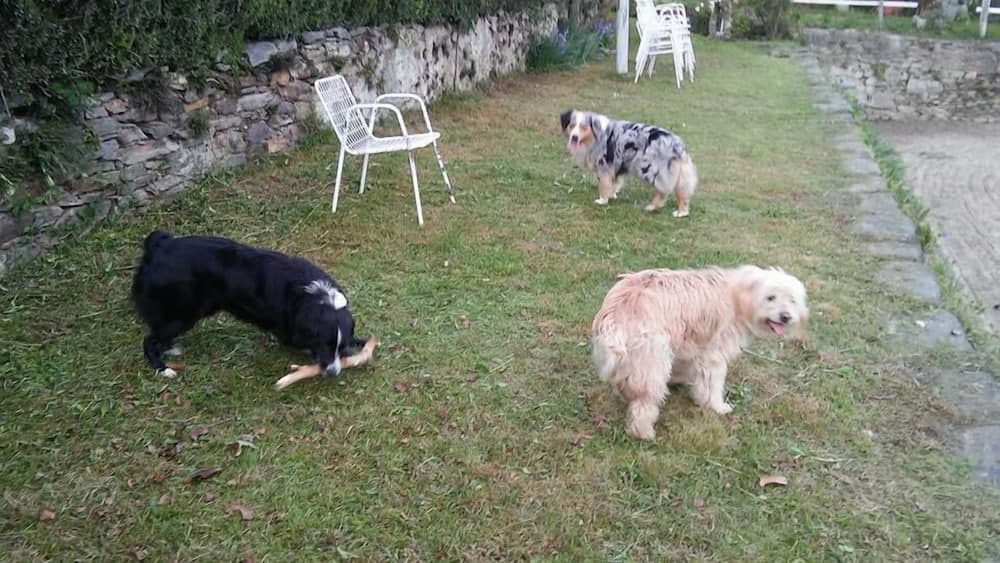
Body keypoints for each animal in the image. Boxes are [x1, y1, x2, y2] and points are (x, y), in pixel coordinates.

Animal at [131, 231, 369, 380]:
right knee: (149, 340)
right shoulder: (289, 329)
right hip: (184, 313)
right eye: (323, 345)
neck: (315, 296)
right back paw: (162, 368)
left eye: (340, 347)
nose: (332, 373)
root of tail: (160, 245)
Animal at [559, 109, 698, 216]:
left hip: (650, 169)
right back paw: (682, 212)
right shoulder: (617, 165)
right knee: (682, 194)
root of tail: (677, 145)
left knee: (663, 191)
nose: (574, 137)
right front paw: (612, 196)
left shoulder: (604, 165)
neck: (596, 136)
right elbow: (614, 184)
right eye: (572, 126)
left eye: (583, 127)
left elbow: (604, 185)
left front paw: (602, 200)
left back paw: (653, 207)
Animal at [591, 266, 808, 440]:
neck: (739, 297)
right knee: (644, 403)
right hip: (652, 361)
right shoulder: (714, 355)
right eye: (770, 297)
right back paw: (644, 432)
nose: (786, 317)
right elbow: (712, 385)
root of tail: (616, 312)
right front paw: (717, 406)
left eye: (792, 300)